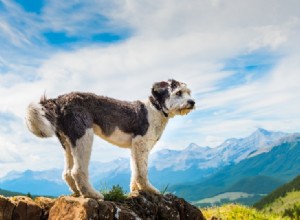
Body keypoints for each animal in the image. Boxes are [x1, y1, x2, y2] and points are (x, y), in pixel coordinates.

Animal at [25, 79, 196, 199]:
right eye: (178, 92)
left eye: (189, 92)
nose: (192, 102)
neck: (156, 108)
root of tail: (58, 100)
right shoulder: (141, 143)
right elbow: (142, 171)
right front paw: (150, 190)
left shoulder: (135, 147)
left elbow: (135, 169)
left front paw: (136, 190)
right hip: (84, 135)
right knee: (77, 171)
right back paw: (92, 194)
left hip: (67, 141)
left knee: (67, 172)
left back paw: (78, 192)